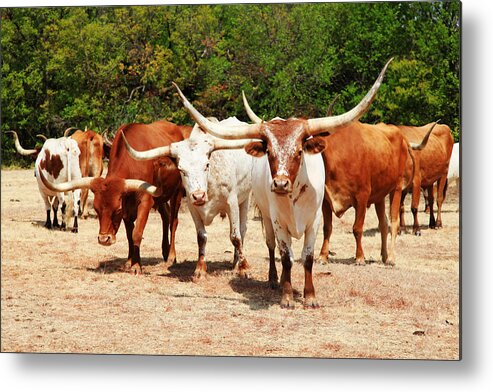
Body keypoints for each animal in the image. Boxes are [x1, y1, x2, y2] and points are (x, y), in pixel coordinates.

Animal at [38, 121, 191, 274]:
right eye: (97, 209)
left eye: (116, 210)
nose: (104, 239)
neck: (132, 164)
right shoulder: (127, 208)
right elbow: (129, 235)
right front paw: (129, 262)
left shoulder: (144, 202)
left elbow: (136, 233)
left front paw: (136, 266)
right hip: (161, 198)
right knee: (165, 216)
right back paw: (165, 251)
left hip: (176, 193)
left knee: (173, 221)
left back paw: (171, 256)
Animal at [122, 115, 258, 280]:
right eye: (181, 170)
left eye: (207, 165)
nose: (199, 196)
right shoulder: (193, 208)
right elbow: (201, 237)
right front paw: (200, 269)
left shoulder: (231, 203)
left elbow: (235, 237)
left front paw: (245, 268)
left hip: (244, 199)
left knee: (242, 230)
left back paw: (236, 263)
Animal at [173, 59, 392, 308]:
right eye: (269, 151)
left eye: (299, 151)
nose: (279, 184)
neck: (294, 196)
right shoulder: (278, 221)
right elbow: (286, 256)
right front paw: (287, 296)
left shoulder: (315, 221)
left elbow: (308, 257)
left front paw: (310, 296)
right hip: (266, 217)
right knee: (271, 247)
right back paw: (273, 279)